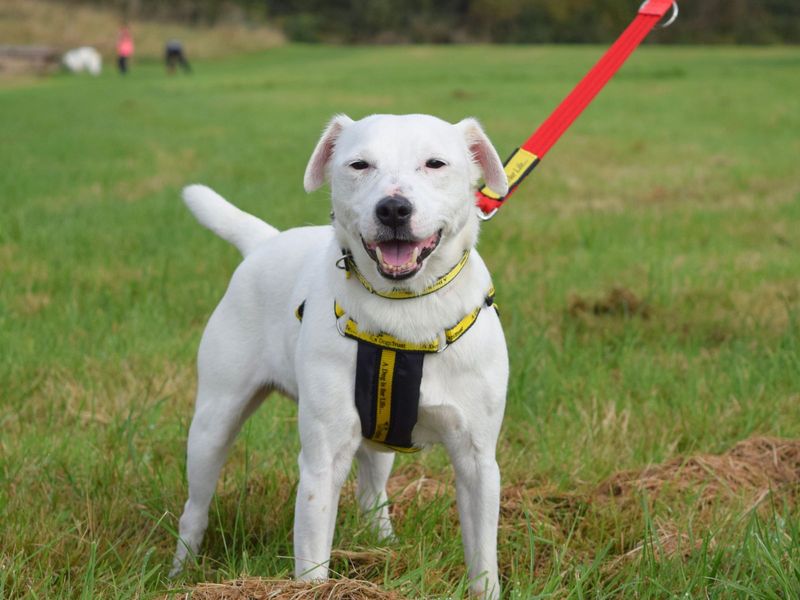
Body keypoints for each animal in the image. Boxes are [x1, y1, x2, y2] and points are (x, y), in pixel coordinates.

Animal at [173, 115, 512, 596]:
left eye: (435, 163)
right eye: (359, 165)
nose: (394, 209)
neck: (404, 311)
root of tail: (264, 243)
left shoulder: (478, 460)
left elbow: (483, 558)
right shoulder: (322, 460)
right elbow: (313, 555)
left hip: (380, 440)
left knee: (373, 493)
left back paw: (384, 545)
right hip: (212, 425)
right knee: (195, 507)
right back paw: (181, 570)